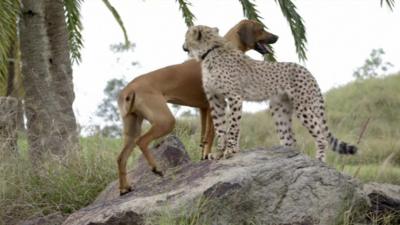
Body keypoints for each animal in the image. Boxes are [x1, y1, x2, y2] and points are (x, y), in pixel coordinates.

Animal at [115, 19, 278, 195]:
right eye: (261, 29)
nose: (277, 37)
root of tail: (129, 88)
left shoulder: (204, 108)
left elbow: (205, 137)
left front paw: (205, 156)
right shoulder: (216, 104)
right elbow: (213, 134)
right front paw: (215, 154)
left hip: (132, 128)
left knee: (121, 157)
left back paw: (124, 188)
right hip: (165, 121)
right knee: (142, 141)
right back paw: (155, 168)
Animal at [183, 25, 358, 161]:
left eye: (186, 36)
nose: (183, 46)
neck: (209, 51)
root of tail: (306, 70)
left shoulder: (234, 97)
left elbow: (233, 126)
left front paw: (230, 150)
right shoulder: (216, 99)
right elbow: (220, 127)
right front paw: (219, 152)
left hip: (304, 107)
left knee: (321, 137)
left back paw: (319, 160)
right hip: (279, 109)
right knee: (290, 139)